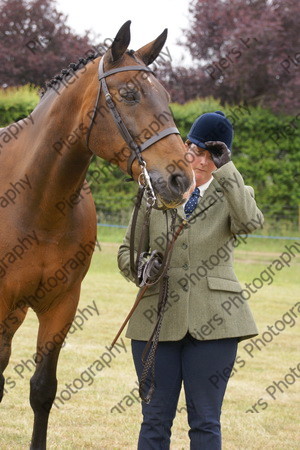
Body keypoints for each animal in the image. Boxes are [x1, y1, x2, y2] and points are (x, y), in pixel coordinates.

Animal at [0, 20, 195, 446]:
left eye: (166, 96)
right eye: (129, 93)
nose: (181, 179)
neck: (35, 202)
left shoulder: (62, 305)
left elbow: (42, 390)